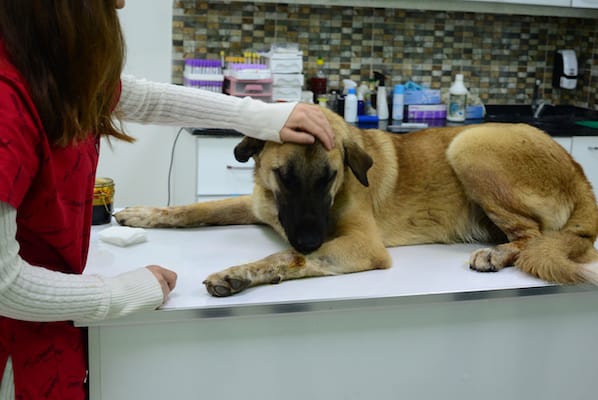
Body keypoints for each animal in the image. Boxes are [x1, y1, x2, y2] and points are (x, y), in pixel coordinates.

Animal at [115, 107, 598, 297]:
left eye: (330, 177)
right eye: (284, 176)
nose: (311, 239)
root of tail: (581, 176)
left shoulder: (363, 245)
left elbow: (285, 257)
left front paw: (238, 274)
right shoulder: (259, 205)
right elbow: (194, 210)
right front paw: (142, 213)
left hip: (470, 144)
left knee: (533, 235)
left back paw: (496, 254)